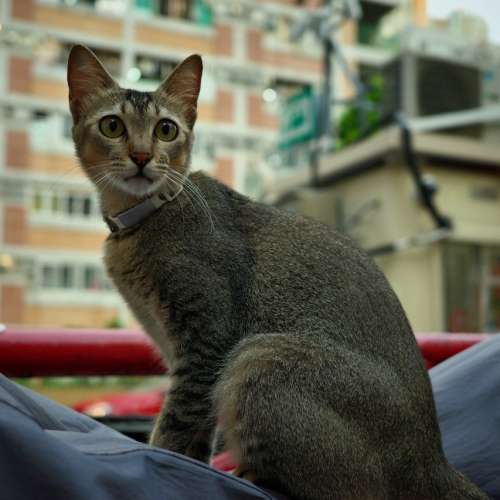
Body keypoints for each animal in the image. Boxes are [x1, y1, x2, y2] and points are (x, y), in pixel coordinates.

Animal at [67, 45, 487, 500]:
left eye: (165, 130)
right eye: (112, 125)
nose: (142, 157)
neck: (148, 216)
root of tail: (432, 459)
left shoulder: (207, 337)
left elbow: (175, 428)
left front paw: (165, 467)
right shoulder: (188, 355)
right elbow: (197, 433)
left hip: (260, 357)